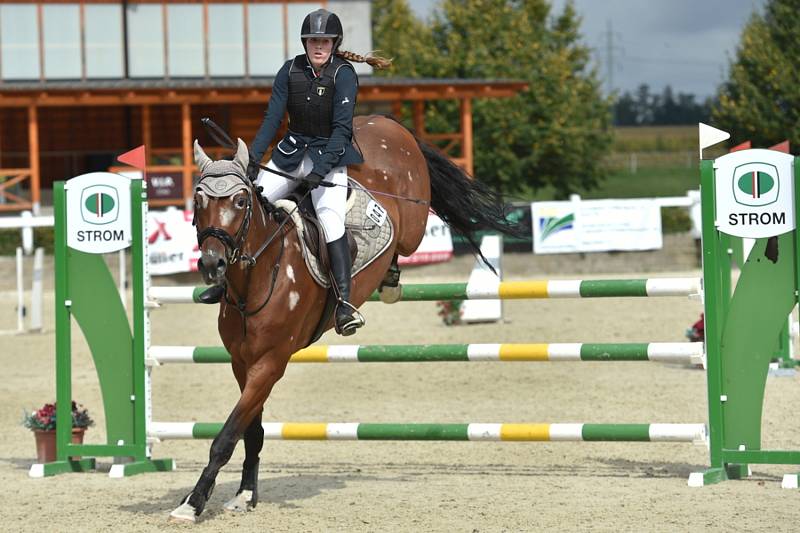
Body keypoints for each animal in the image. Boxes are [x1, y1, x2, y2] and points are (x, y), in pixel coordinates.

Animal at [169, 115, 520, 520]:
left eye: (240, 201)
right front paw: (244, 494)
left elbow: (226, 436)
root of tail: (385, 122)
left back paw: (388, 282)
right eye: (198, 200)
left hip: (414, 222)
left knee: (406, 242)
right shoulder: (242, 362)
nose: (212, 265)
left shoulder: (271, 363)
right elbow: (250, 430)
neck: (257, 277)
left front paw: (194, 502)